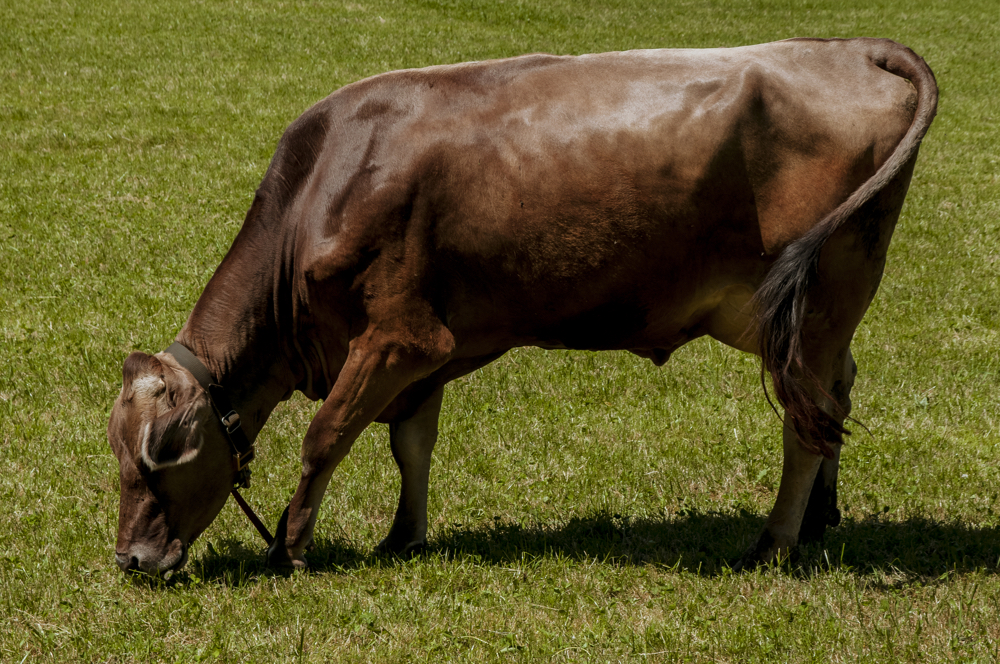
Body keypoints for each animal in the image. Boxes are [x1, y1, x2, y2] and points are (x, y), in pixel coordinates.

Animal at [109, 37, 936, 576]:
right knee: (833, 399)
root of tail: (848, 46)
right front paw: (404, 537)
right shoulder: (429, 349)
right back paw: (822, 517)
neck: (325, 183)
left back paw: (772, 544)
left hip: (816, 298)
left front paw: (290, 546)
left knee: (805, 422)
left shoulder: (399, 335)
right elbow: (410, 443)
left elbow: (326, 436)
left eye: (161, 454)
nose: (132, 559)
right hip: (801, 316)